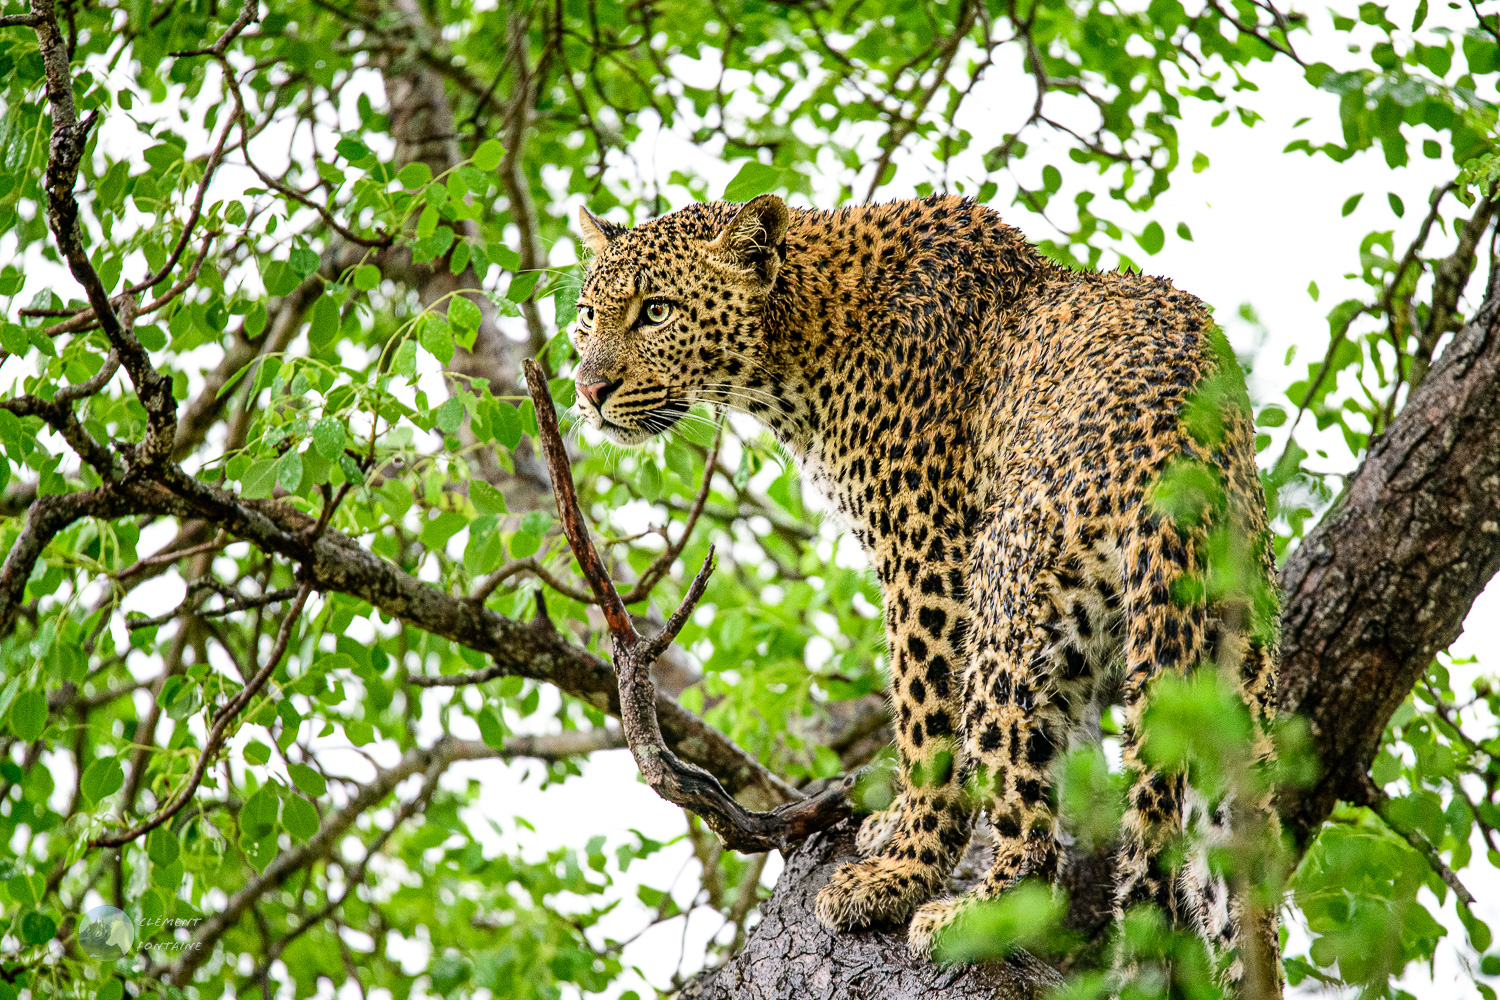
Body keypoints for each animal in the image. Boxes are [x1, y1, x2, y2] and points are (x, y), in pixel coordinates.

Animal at [567, 191, 1284, 989]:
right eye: (589, 314)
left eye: (657, 311)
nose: (587, 390)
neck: (798, 348)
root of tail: (1184, 456)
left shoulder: (925, 557)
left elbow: (923, 722)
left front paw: (900, 866)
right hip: (1229, 678)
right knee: (1244, 897)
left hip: (1006, 606)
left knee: (1034, 836)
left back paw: (961, 912)